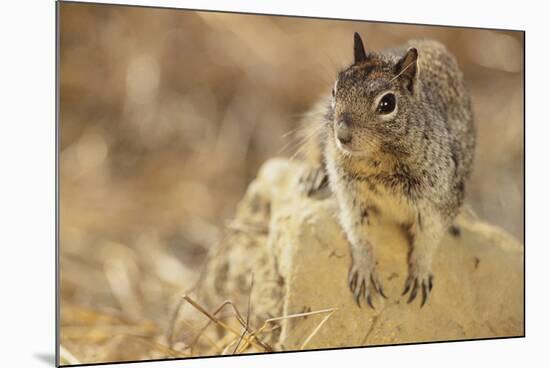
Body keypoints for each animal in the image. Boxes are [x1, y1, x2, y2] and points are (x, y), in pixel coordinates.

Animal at [300, 32, 476, 308]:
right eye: (335, 89)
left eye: (387, 103)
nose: (341, 135)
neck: (377, 160)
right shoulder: (350, 196)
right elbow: (358, 233)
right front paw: (365, 270)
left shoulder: (438, 202)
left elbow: (428, 240)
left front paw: (420, 273)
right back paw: (313, 174)